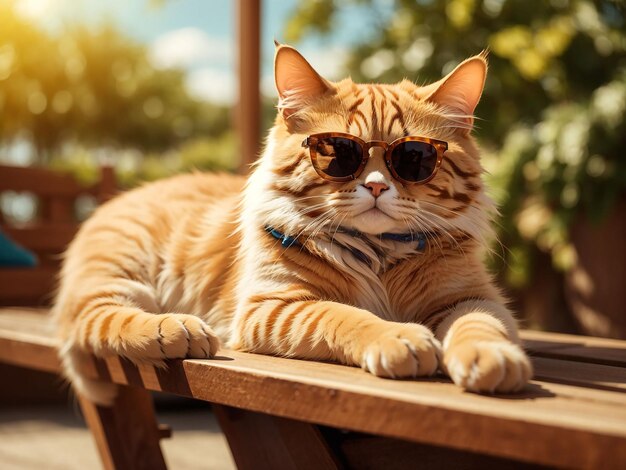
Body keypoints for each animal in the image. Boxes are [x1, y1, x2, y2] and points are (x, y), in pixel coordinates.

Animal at [54, 43, 532, 404]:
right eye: (338, 153)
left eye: (414, 158)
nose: (377, 186)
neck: (377, 253)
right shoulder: (274, 306)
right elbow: (344, 315)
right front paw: (398, 337)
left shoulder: (472, 298)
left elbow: (480, 326)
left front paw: (492, 357)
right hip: (121, 271)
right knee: (93, 317)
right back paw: (173, 329)